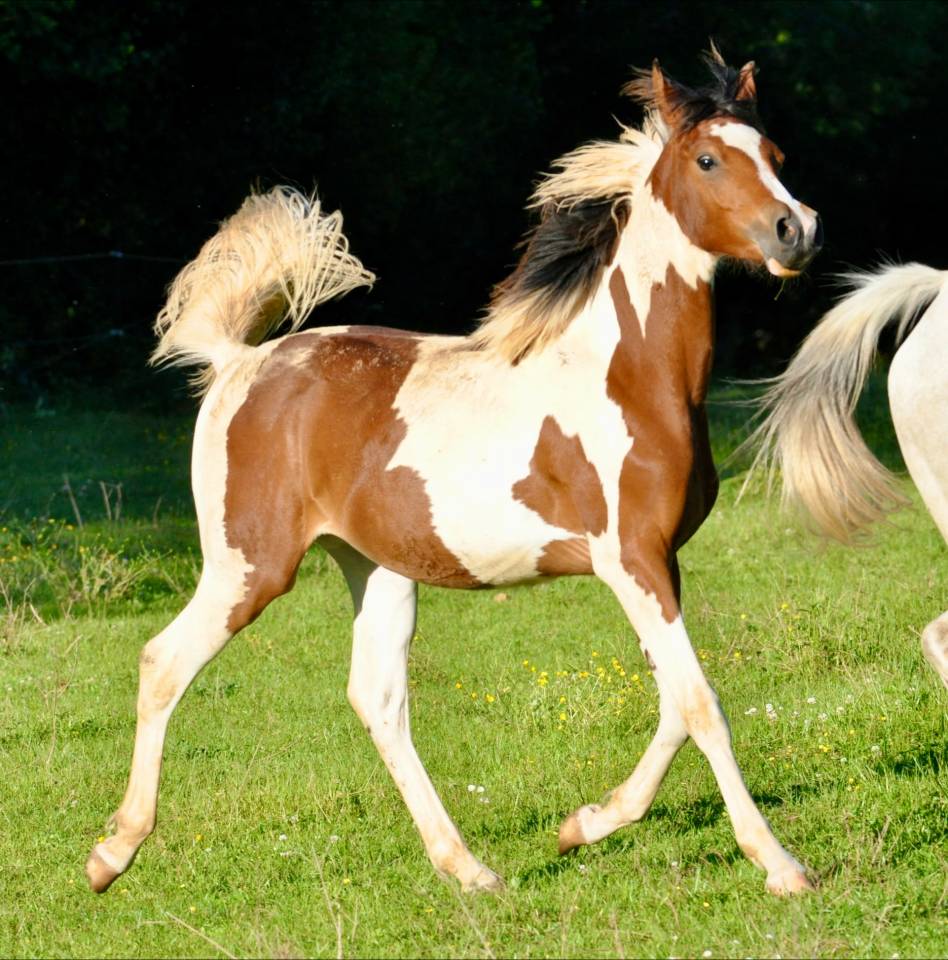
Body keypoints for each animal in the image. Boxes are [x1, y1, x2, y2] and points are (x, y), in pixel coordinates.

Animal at [86, 49, 822, 897]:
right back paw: (110, 856)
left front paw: (583, 825)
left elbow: (673, 702)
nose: (797, 230)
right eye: (707, 159)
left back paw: (468, 868)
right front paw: (780, 864)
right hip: (249, 566)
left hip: (375, 567)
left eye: (776, 155)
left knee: (377, 700)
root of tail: (240, 364)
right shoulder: (629, 557)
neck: (629, 374)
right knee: (163, 663)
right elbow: (701, 704)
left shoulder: (661, 560)